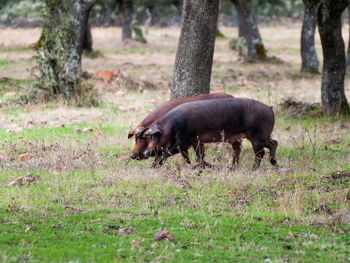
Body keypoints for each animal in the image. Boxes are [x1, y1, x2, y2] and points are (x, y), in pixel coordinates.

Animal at [144, 98, 278, 170]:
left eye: (155, 136)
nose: (145, 153)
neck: (171, 126)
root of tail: (270, 108)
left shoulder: (184, 141)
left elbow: (167, 152)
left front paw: (155, 166)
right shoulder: (195, 141)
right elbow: (199, 156)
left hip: (256, 135)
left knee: (260, 153)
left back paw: (253, 169)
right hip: (263, 135)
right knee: (274, 143)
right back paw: (274, 163)